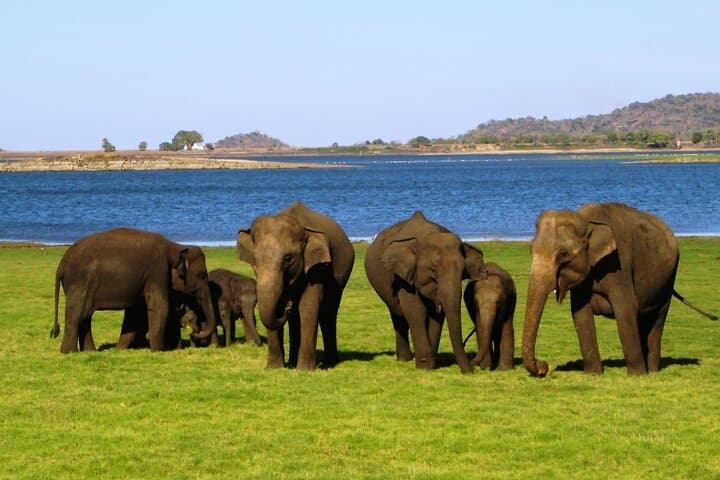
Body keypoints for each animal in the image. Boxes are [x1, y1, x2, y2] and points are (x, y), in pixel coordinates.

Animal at [50, 228, 216, 353]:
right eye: (201, 276)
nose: (195, 332)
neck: (175, 246)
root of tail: (61, 264)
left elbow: (137, 313)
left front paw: (120, 349)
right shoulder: (157, 270)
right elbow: (160, 306)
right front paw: (157, 351)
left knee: (85, 316)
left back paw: (90, 351)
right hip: (80, 282)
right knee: (77, 314)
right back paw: (69, 352)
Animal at [236, 201, 355, 370]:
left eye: (288, 258)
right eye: (255, 259)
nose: (286, 307)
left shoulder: (317, 267)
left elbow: (308, 306)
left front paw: (304, 370)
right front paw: (273, 368)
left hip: (343, 272)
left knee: (328, 312)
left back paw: (329, 363)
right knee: (296, 318)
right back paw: (292, 362)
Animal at [364, 211, 485, 373]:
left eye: (462, 271)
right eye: (433, 269)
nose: (470, 372)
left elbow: (437, 316)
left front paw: (432, 364)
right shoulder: (403, 276)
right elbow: (415, 310)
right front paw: (425, 366)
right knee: (398, 314)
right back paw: (404, 359)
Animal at [523, 202, 717, 377]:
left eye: (563, 254)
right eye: (531, 249)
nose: (543, 367)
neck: (587, 221)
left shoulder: (619, 265)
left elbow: (625, 309)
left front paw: (637, 375)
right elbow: (580, 314)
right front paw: (593, 374)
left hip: (668, 280)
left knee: (658, 319)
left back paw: (652, 371)